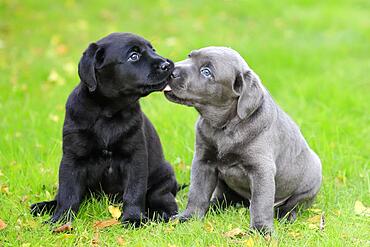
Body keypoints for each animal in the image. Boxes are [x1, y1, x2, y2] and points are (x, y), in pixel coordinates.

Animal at [30, 32, 178, 226]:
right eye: (134, 56)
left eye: (153, 49)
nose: (167, 64)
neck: (108, 114)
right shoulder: (72, 158)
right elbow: (68, 193)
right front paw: (61, 219)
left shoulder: (135, 157)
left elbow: (134, 192)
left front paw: (133, 218)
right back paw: (44, 206)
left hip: (163, 176)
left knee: (163, 198)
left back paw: (162, 214)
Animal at [163, 46, 322, 233]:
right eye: (190, 56)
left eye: (206, 72)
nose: (170, 69)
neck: (224, 127)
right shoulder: (203, 161)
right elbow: (197, 192)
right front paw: (189, 218)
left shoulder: (261, 169)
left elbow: (261, 202)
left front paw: (261, 230)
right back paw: (214, 205)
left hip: (310, 182)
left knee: (293, 205)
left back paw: (286, 215)